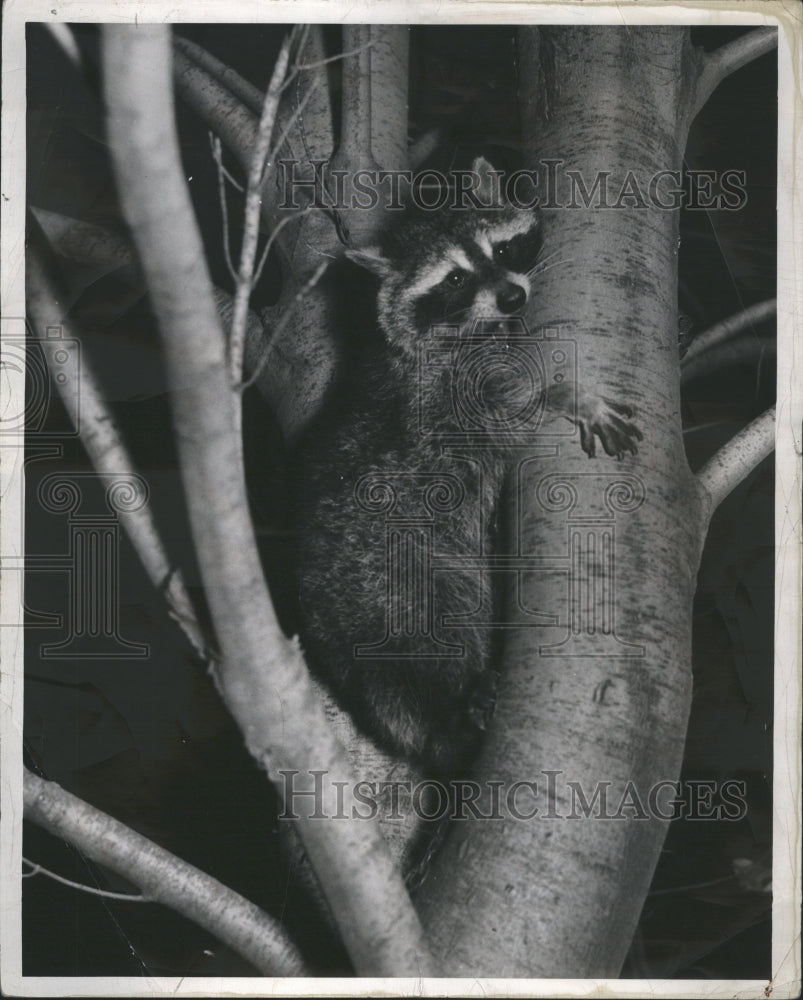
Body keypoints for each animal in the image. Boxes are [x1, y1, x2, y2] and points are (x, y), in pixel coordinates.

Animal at [288, 160, 640, 776]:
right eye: (453, 279)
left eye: (502, 248)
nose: (512, 296)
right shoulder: (439, 396)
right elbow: (503, 417)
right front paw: (567, 394)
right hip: (389, 578)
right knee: (431, 634)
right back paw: (452, 718)